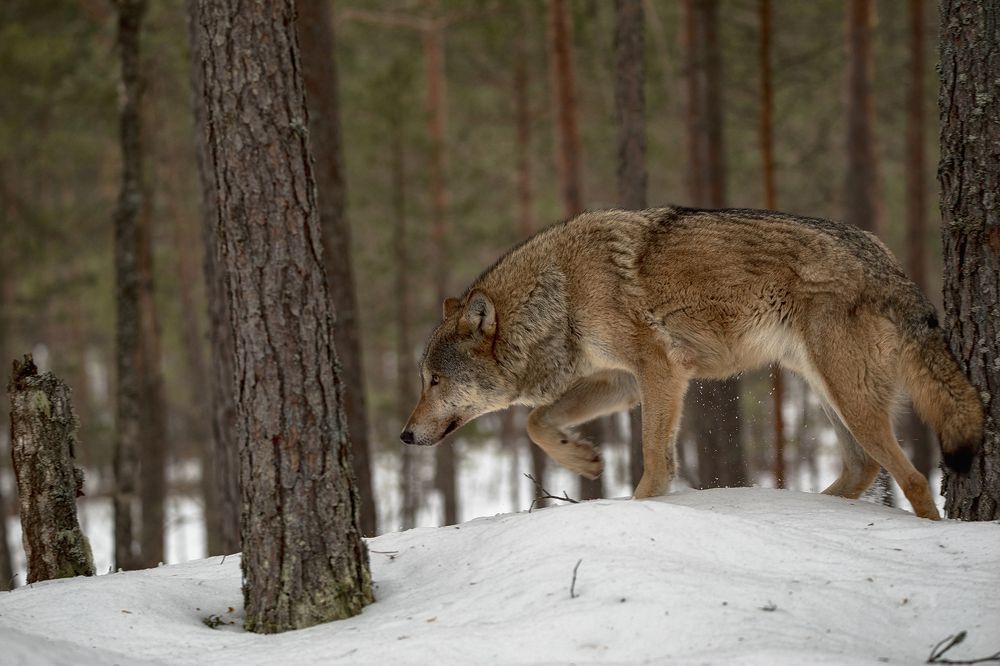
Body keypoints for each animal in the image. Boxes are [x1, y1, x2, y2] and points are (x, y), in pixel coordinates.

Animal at [401, 207, 983, 520]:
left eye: (434, 380)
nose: (404, 436)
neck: (560, 291)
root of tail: (888, 264)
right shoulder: (621, 379)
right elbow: (536, 421)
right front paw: (582, 459)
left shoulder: (660, 370)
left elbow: (656, 461)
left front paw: (641, 506)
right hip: (827, 393)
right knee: (863, 469)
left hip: (849, 398)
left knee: (913, 478)